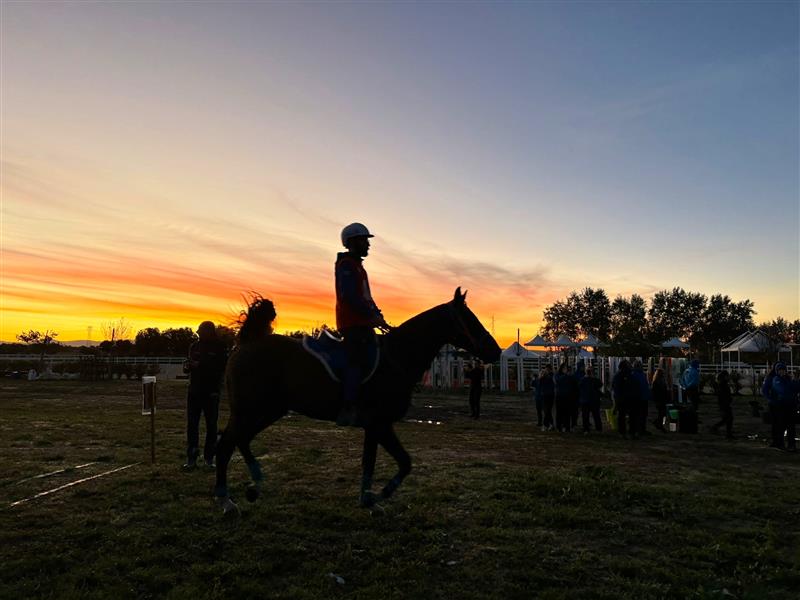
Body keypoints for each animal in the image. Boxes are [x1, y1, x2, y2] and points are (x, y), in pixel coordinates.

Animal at [216, 288, 496, 512]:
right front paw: (378, 496)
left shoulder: (374, 427)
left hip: (268, 411)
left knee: (241, 439)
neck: (396, 357)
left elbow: (372, 462)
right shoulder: (380, 424)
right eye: (469, 319)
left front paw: (368, 499)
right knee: (226, 443)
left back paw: (254, 485)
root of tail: (248, 341)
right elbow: (403, 462)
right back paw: (226, 501)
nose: (494, 350)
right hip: (249, 411)